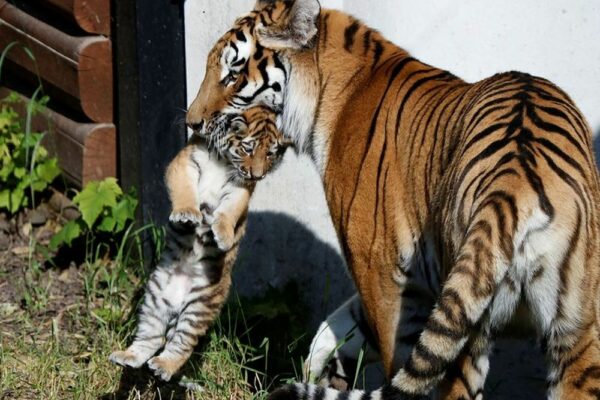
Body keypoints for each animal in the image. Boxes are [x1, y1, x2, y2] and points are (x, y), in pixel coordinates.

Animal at [186, 0, 600, 400]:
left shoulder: (379, 269)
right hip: (575, 329)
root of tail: (513, 182)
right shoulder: (418, 285)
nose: (192, 122)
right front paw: (320, 369)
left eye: (232, 75)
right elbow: (337, 327)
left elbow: (391, 355)